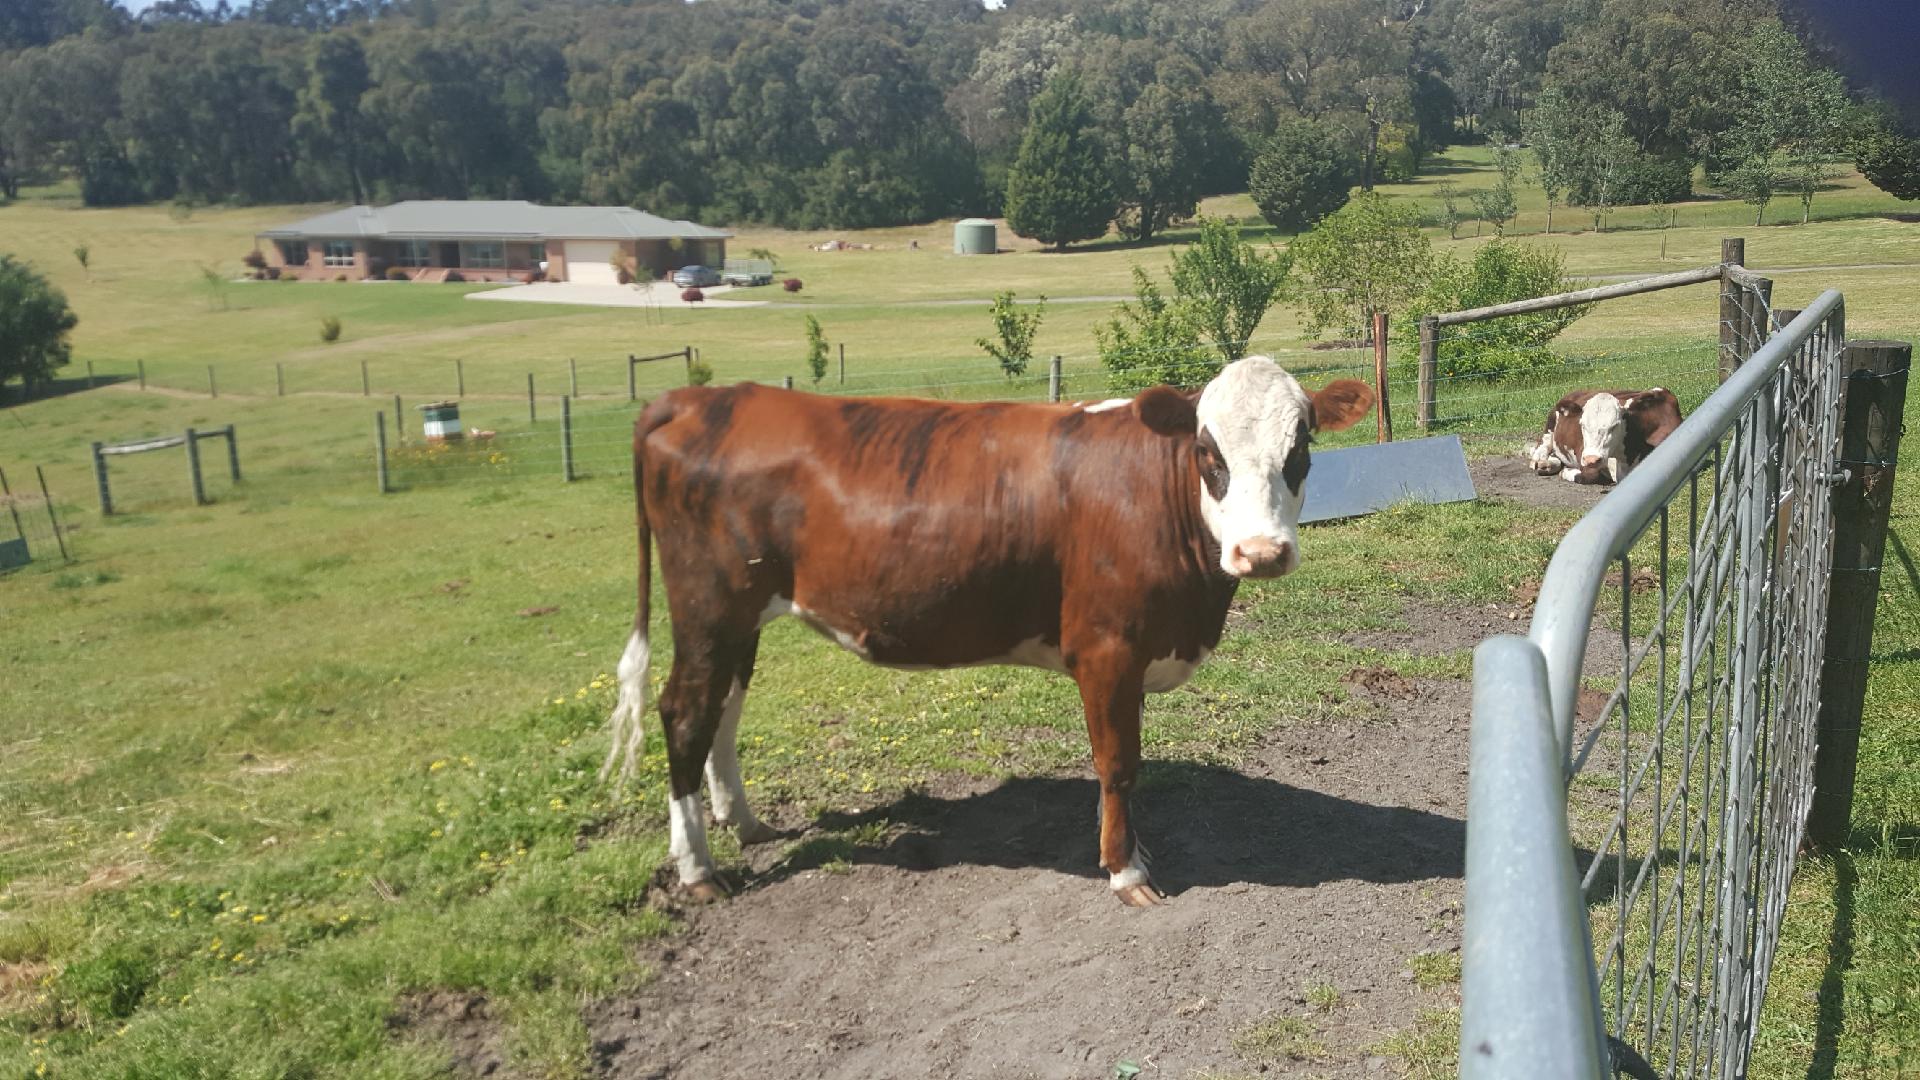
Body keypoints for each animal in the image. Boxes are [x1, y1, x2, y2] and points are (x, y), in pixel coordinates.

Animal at [602, 358, 1375, 907]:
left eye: (1300, 448)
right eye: (1208, 453)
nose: (1261, 553)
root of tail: (702, 398)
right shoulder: (1107, 649)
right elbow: (1119, 764)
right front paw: (1126, 871)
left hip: (742, 613)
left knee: (726, 704)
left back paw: (744, 820)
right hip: (709, 603)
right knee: (687, 712)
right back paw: (698, 868)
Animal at [1528, 387, 1683, 485]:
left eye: (1615, 425)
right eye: (1582, 424)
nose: (1592, 460)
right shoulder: (1583, 451)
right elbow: (1591, 475)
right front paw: (1567, 472)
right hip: (1550, 423)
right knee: (1543, 444)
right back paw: (1541, 460)